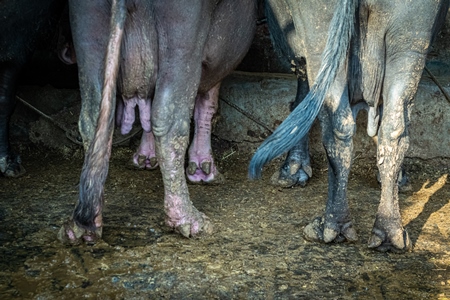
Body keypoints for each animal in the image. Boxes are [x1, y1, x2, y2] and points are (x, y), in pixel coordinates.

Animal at [59, 0, 256, 244]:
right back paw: (192, 222)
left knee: (92, 115)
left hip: (88, 28)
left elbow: (147, 113)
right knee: (169, 118)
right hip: (183, 37)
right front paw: (204, 170)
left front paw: (145, 158)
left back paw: (82, 228)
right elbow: (206, 105)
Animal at [251, 0, 448, 252]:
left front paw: (292, 169)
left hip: (319, 34)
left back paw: (330, 226)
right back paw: (389, 233)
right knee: (393, 129)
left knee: (337, 125)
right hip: (410, 41)